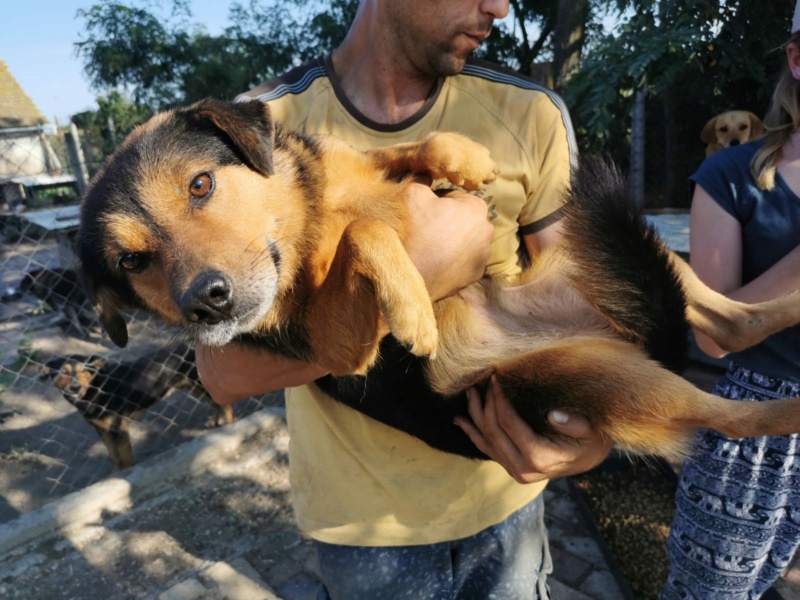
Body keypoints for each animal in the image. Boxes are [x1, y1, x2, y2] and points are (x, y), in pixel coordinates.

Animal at [43, 342, 233, 468]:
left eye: (83, 370)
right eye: (62, 372)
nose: (75, 387)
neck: (95, 388)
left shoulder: (119, 428)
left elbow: (125, 458)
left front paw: (126, 474)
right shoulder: (102, 430)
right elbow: (114, 457)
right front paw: (117, 473)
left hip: (200, 383)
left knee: (225, 404)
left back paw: (230, 425)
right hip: (193, 386)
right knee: (215, 404)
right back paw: (214, 422)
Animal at [72, 101, 800, 462]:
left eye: (201, 184)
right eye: (132, 262)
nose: (207, 304)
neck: (310, 219)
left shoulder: (350, 166)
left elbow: (397, 151)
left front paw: (462, 158)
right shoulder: (338, 344)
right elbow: (369, 235)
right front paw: (413, 306)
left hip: (598, 255)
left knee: (735, 319)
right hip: (596, 376)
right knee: (736, 415)